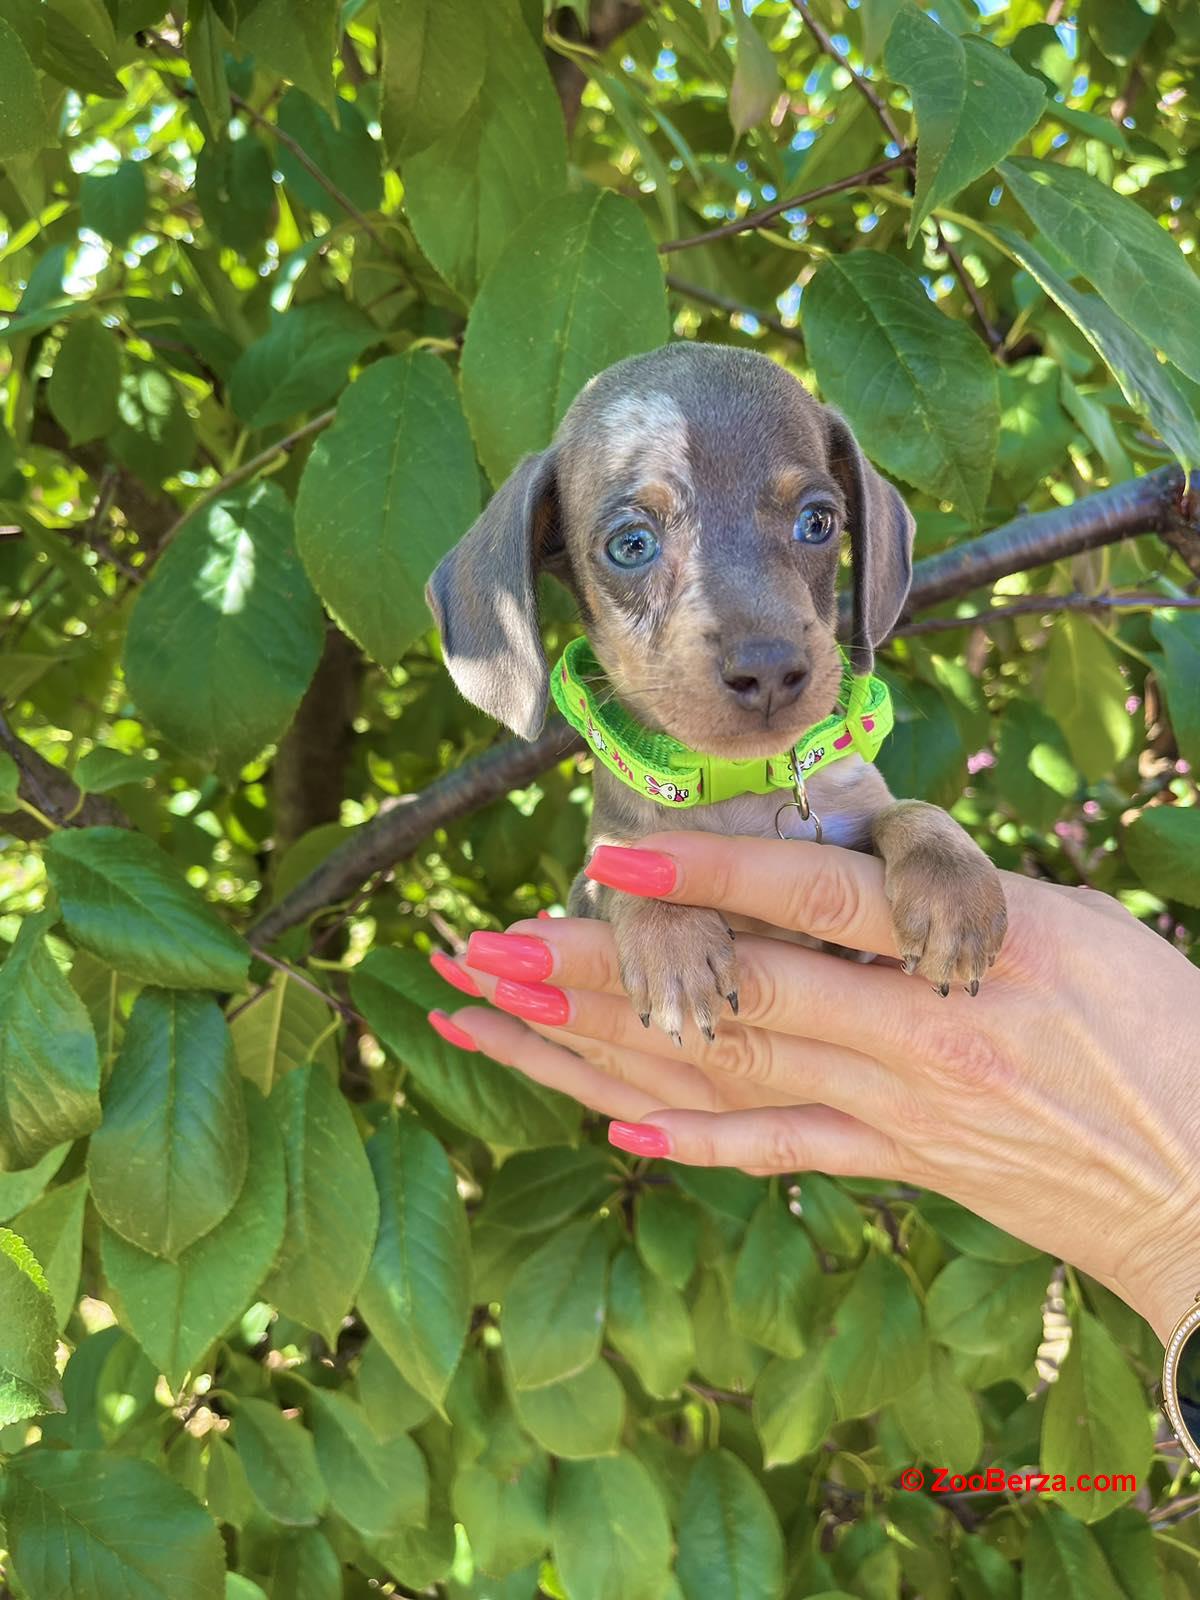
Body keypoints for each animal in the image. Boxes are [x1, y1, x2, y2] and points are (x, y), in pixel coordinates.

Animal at [428, 342, 1011, 1036]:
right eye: (631, 544)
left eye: (819, 521)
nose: (769, 670)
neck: (738, 789)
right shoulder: (585, 888)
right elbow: (621, 865)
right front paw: (670, 931)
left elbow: (908, 810)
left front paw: (953, 884)